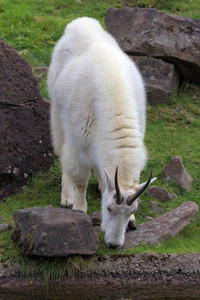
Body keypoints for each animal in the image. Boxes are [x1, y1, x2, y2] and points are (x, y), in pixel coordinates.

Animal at [47, 17, 156, 250]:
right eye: (108, 208)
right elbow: (80, 180)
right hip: (57, 113)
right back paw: (66, 196)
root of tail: (80, 22)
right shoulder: (78, 145)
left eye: (133, 210)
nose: (114, 244)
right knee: (62, 152)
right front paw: (79, 210)